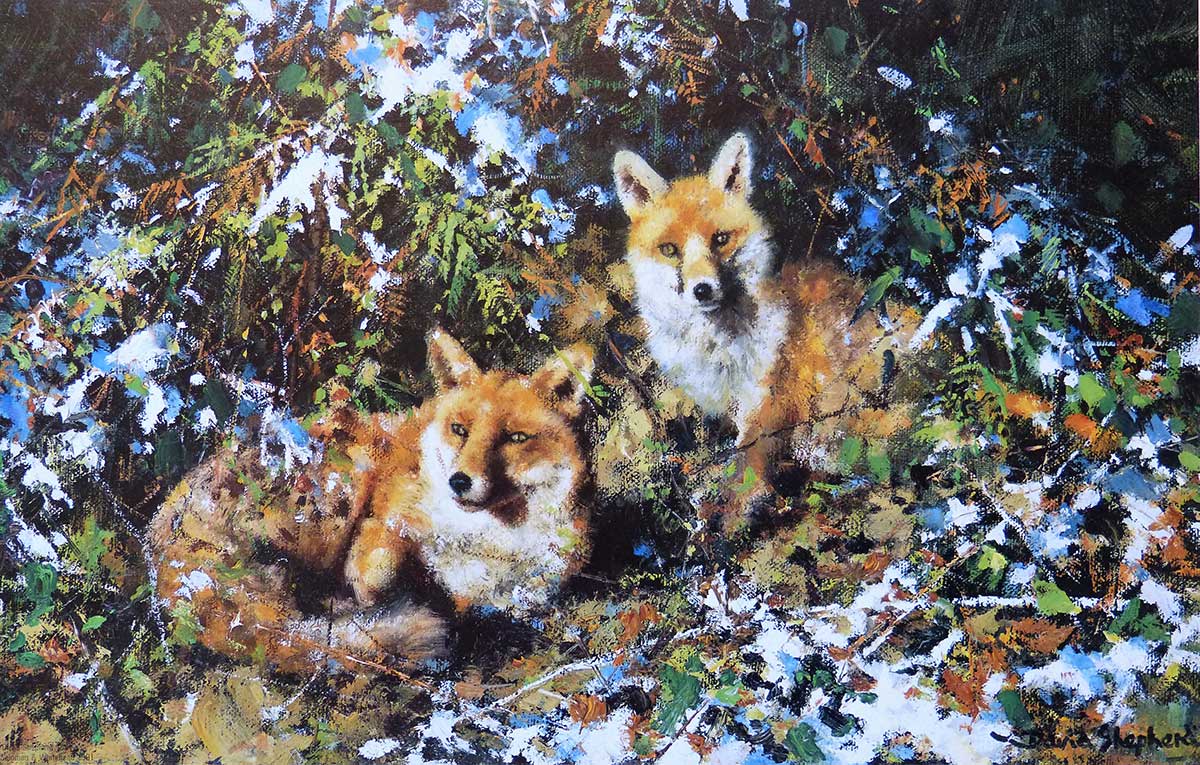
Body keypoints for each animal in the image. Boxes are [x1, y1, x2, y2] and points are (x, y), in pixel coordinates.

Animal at [149, 330, 594, 673]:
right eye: (460, 430)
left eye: (515, 438)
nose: (460, 481)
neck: (487, 542)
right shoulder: (384, 523)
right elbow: (378, 569)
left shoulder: (535, 584)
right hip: (346, 479)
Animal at [612, 133, 915, 509]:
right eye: (669, 249)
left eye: (721, 239)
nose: (702, 290)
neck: (718, 348)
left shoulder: (771, 399)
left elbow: (744, 468)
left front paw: (730, 507)